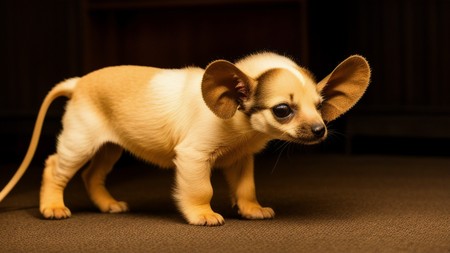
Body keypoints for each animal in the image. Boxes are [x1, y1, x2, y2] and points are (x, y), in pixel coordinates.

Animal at [0, 51, 370, 225]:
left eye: (320, 106)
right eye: (283, 110)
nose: (320, 130)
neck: (240, 127)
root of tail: (77, 83)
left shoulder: (240, 160)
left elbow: (246, 188)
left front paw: (251, 210)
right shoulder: (193, 157)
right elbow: (200, 190)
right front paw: (202, 215)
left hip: (109, 148)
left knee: (93, 175)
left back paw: (108, 205)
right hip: (80, 142)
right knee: (54, 167)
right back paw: (52, 207)